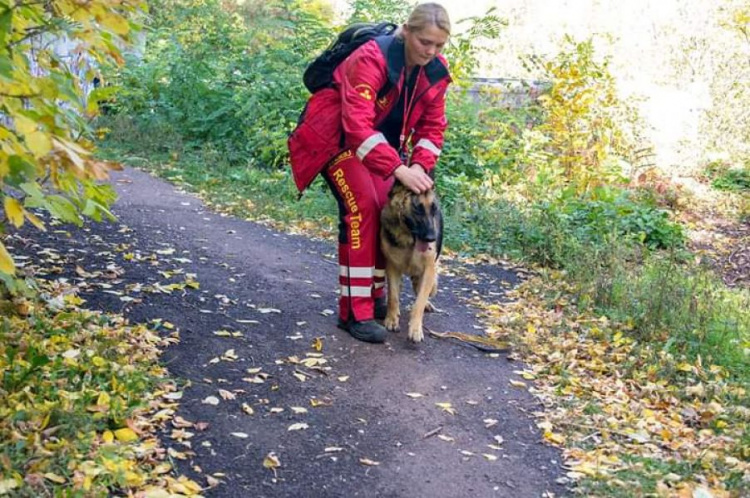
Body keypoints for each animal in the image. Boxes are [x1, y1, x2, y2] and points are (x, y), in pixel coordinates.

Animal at [378, 183, 444, 342]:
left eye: (434, 209)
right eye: (417, 208)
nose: (432, 238)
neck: (409, 239)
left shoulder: (428, 270)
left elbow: (419, 302)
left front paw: (415, 329)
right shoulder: (392, 266)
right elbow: (393, 296)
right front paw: (391, 319)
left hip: (432, 281)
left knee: (423, 290)